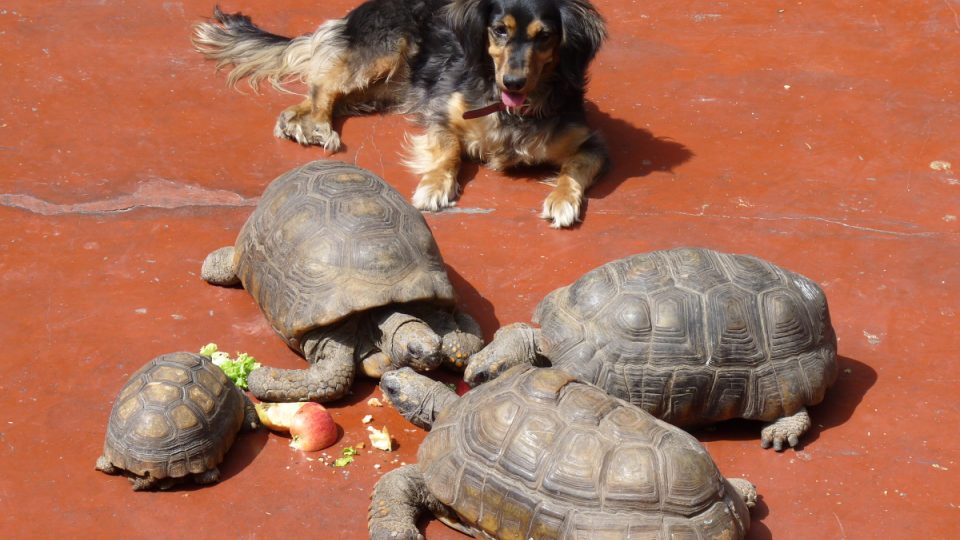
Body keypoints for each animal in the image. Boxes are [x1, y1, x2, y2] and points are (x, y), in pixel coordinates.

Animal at [193, 0, 608, 228]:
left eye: (544, 36)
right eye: (499, 31)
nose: (513, 82)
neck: (513, 110)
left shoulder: (593, 144)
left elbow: (574, 169)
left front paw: (563, 200)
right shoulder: (441, 113)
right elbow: (449, 152)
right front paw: (434, 187)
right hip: (386, 47)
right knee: (321, 86)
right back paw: (317, 126)